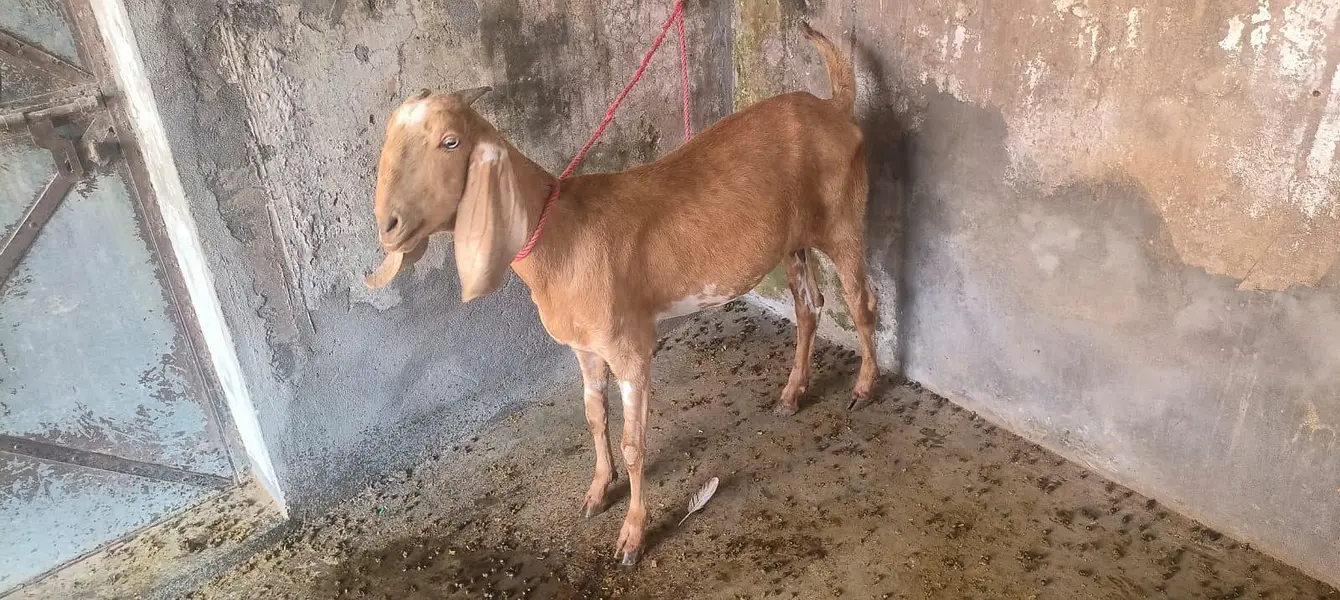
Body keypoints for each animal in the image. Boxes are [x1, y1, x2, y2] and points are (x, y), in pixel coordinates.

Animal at [364, 23, 877, 566]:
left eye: (450, 141)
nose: (388, 226)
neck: (561, 235)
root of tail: (834, 106)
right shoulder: (586, 348)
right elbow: (594, 418)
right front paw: (596, 492)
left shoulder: (630, 347)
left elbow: (634, 444)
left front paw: (632, 535)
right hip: (793, 240)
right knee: (809, 307)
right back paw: (791, 394)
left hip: (844, 220)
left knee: (861, 304)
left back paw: (864, 388)